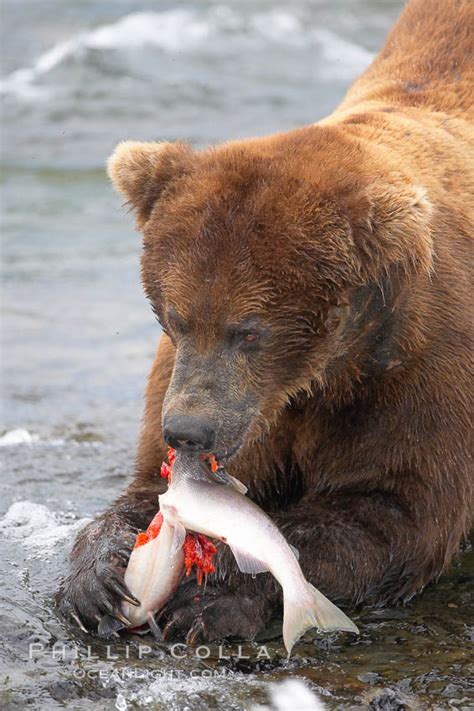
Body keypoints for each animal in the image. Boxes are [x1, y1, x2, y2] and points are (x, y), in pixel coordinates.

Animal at [58, 0, 474, 644]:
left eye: (250, 331)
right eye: (174, 317)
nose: (188, 430)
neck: (327, 370)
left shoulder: (422, 367)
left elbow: (395, 510)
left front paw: (213, 600)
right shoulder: (215, 394)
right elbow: (147, 489)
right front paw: (96, 578)